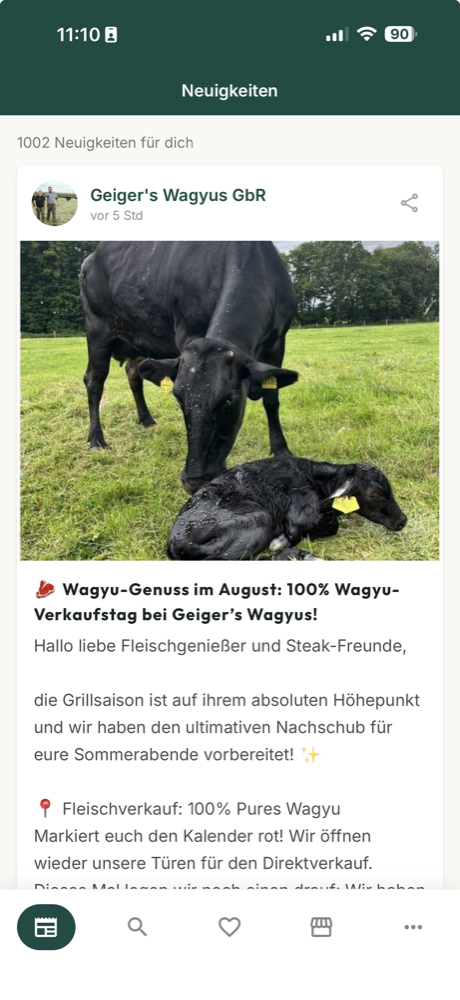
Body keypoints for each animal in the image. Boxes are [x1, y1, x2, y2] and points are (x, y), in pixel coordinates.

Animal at [80, 241, 298, 493]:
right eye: (178, 397)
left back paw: (146, 419)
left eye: (230, 399)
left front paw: (281, 449)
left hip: (138, 338)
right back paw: (96, 439)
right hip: (97, 333)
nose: (195, 480)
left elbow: (271, 399)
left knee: (133, 373)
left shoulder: (278, 341)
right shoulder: (188, 332)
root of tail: (91, 257)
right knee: (95, 380)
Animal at [167, 456, 407, 560]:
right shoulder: (299, 517)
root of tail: (176, 540)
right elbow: (326, 527)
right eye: (376, 494)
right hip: (259, 518)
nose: (402, 520)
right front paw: (281, 541)